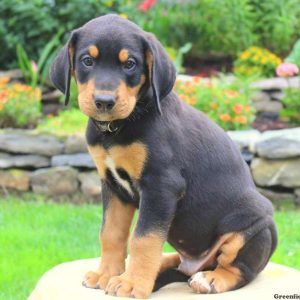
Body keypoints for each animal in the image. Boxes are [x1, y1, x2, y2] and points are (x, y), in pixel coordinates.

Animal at [49, 14, 276, 300]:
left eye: (130, 64)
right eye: (87, 60)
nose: (104, 101)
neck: (119, 127)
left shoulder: (160, 186)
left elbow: (143, 238)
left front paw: (132, 283)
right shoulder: (112, 186)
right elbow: (111, 233)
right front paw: (107, 274)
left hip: (256, 224)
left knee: (239, 269)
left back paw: (211, 279)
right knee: (179, 263)